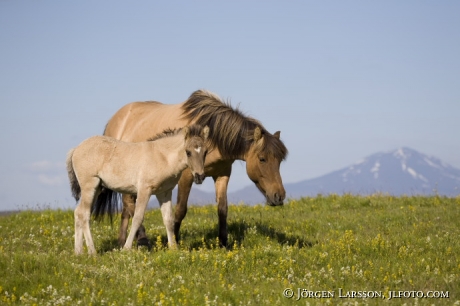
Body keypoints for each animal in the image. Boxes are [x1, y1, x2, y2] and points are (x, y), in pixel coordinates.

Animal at [66, 123, 208, 253]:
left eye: (205, 152)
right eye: (188, 152)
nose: (199, 176)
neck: (162, 157)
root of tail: (76, 149)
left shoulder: (164, 192)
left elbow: (168, 219)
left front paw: (174, 248)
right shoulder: (144, 190)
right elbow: (137, 218)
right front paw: (126, 248)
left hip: (97, 189)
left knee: (78, 212)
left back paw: (78, 252)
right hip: (90, 186)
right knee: (84, 214)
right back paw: (92, 252)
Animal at [96, 89, 286, 247]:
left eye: (280, 161)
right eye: (262, 159)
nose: (279, 196)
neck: (212, 138)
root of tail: (114, 120)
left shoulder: (222, 174)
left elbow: (222, 209)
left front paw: (223, 243)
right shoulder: (186, 176)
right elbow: (180, 210)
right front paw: (174, 239)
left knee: (127, 207)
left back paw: (122, 241)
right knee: (130, 205)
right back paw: (142, 240)